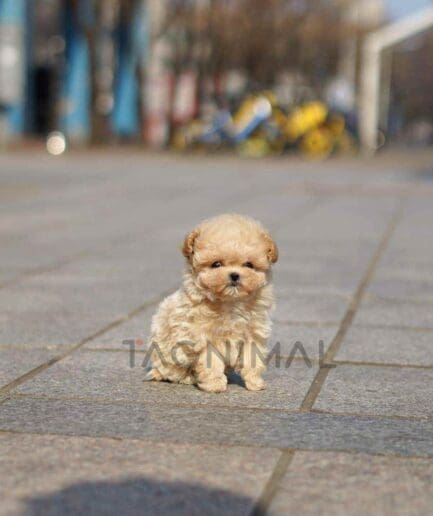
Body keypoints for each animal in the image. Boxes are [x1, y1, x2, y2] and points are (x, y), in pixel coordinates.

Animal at [147, 213, 278, 392]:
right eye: (216, 264)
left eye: (249, 264)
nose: (234, 275)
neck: (230, 302)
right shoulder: (205, 337)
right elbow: (211, 361)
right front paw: (214, 384)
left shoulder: (253, 333)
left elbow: (252, 359)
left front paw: (255, 382)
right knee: (171, 371)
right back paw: (185, 377)